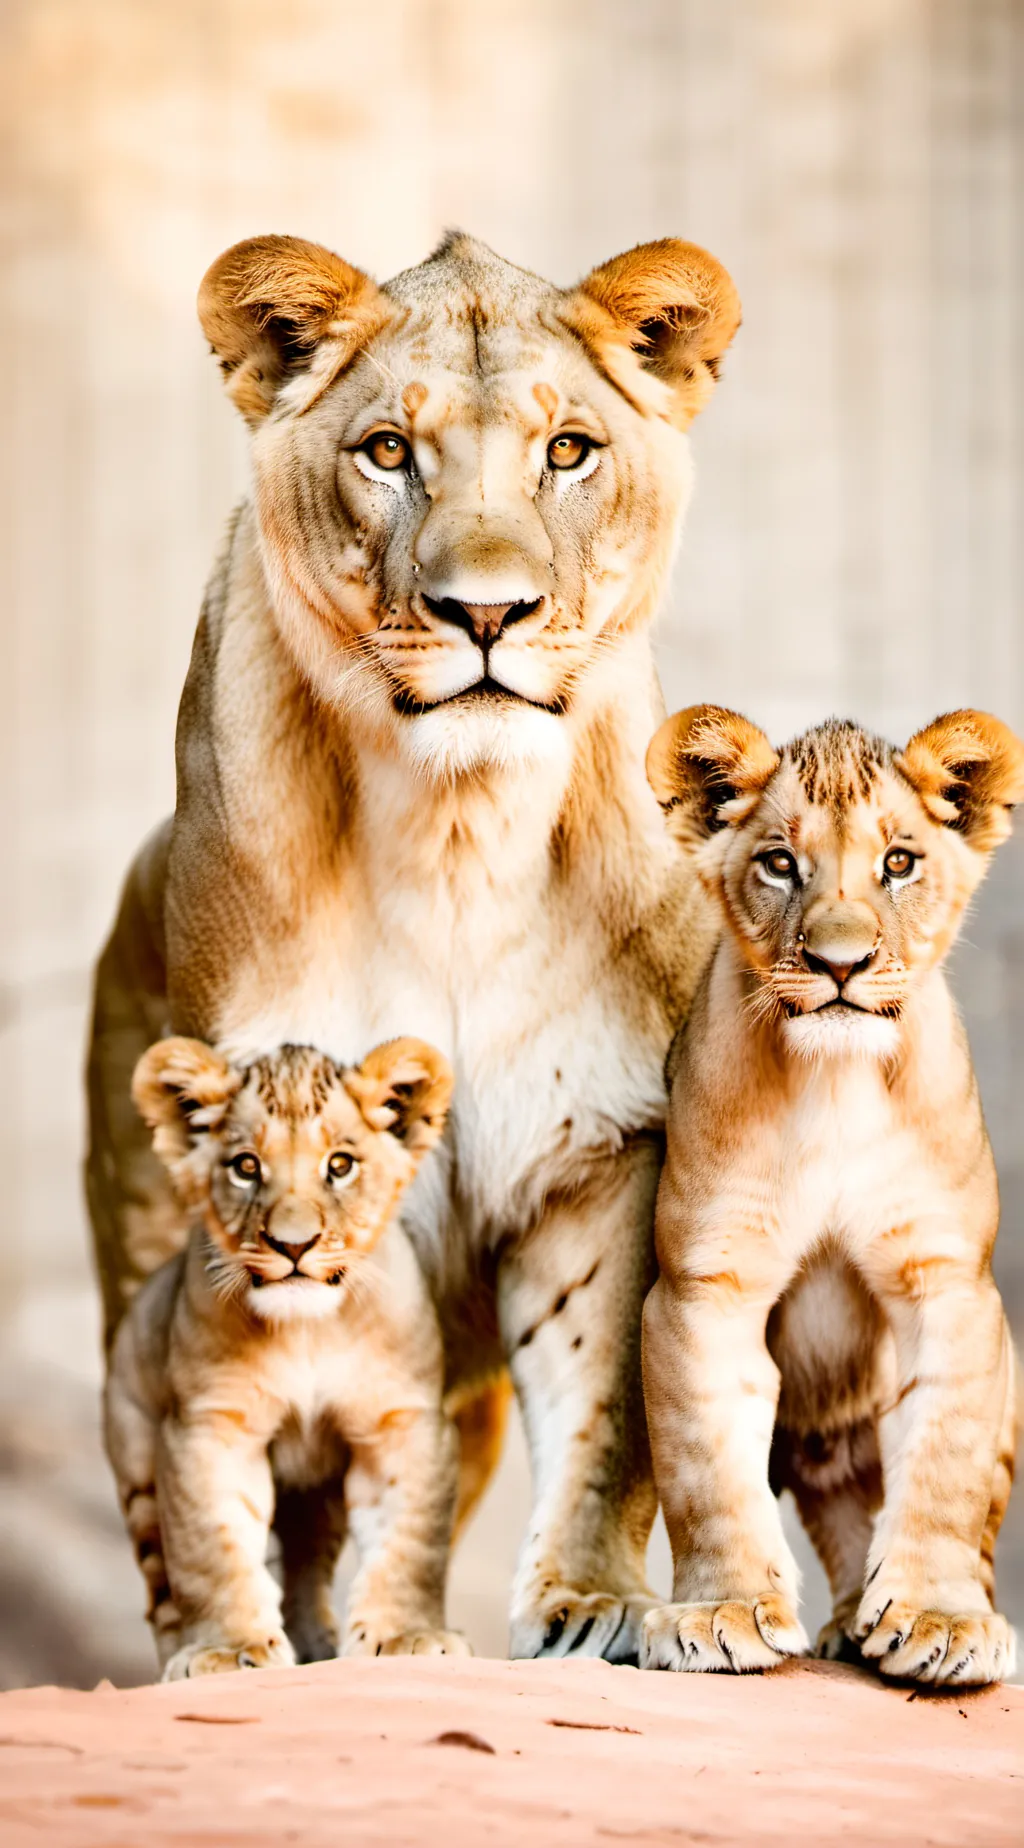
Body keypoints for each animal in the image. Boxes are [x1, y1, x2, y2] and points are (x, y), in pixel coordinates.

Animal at [105, 1033, 469, 1678]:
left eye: (340, 1165)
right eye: (246, 1166)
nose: (292, 1245)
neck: (308, 1333)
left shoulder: (403, 1423)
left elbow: (411, 1542)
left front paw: (407, 1637)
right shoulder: (210, 1426)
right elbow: (211, 1549)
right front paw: (228, 1649)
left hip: (318, 1500)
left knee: (304, 1567)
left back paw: (316, 1647)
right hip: (138, 1470)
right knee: (162, 1593)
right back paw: (178, 1659)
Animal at [640, 705, 1023, 1686]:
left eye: (900, 862)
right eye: (781, 863)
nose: (840, 963)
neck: (835, 1078)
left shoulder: (950, 1280)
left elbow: (946, 1461)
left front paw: (938, 1620)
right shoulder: (703, 1286)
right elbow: (706, 1466)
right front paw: (725, 1610)